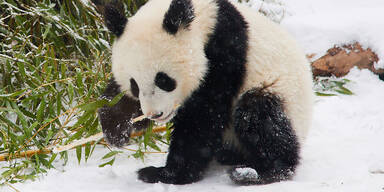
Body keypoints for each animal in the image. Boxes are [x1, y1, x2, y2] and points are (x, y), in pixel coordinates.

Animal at [97, 0, 314, 184]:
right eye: (134, 85)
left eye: (164, 80)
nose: (155, 114)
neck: (204, 18)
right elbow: (116, 96)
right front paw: (116, 129)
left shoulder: (225, 53)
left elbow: (203, 116)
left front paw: (166, 173)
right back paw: (229, 156)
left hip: (280, 93)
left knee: (260, 118)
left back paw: (258, 172)